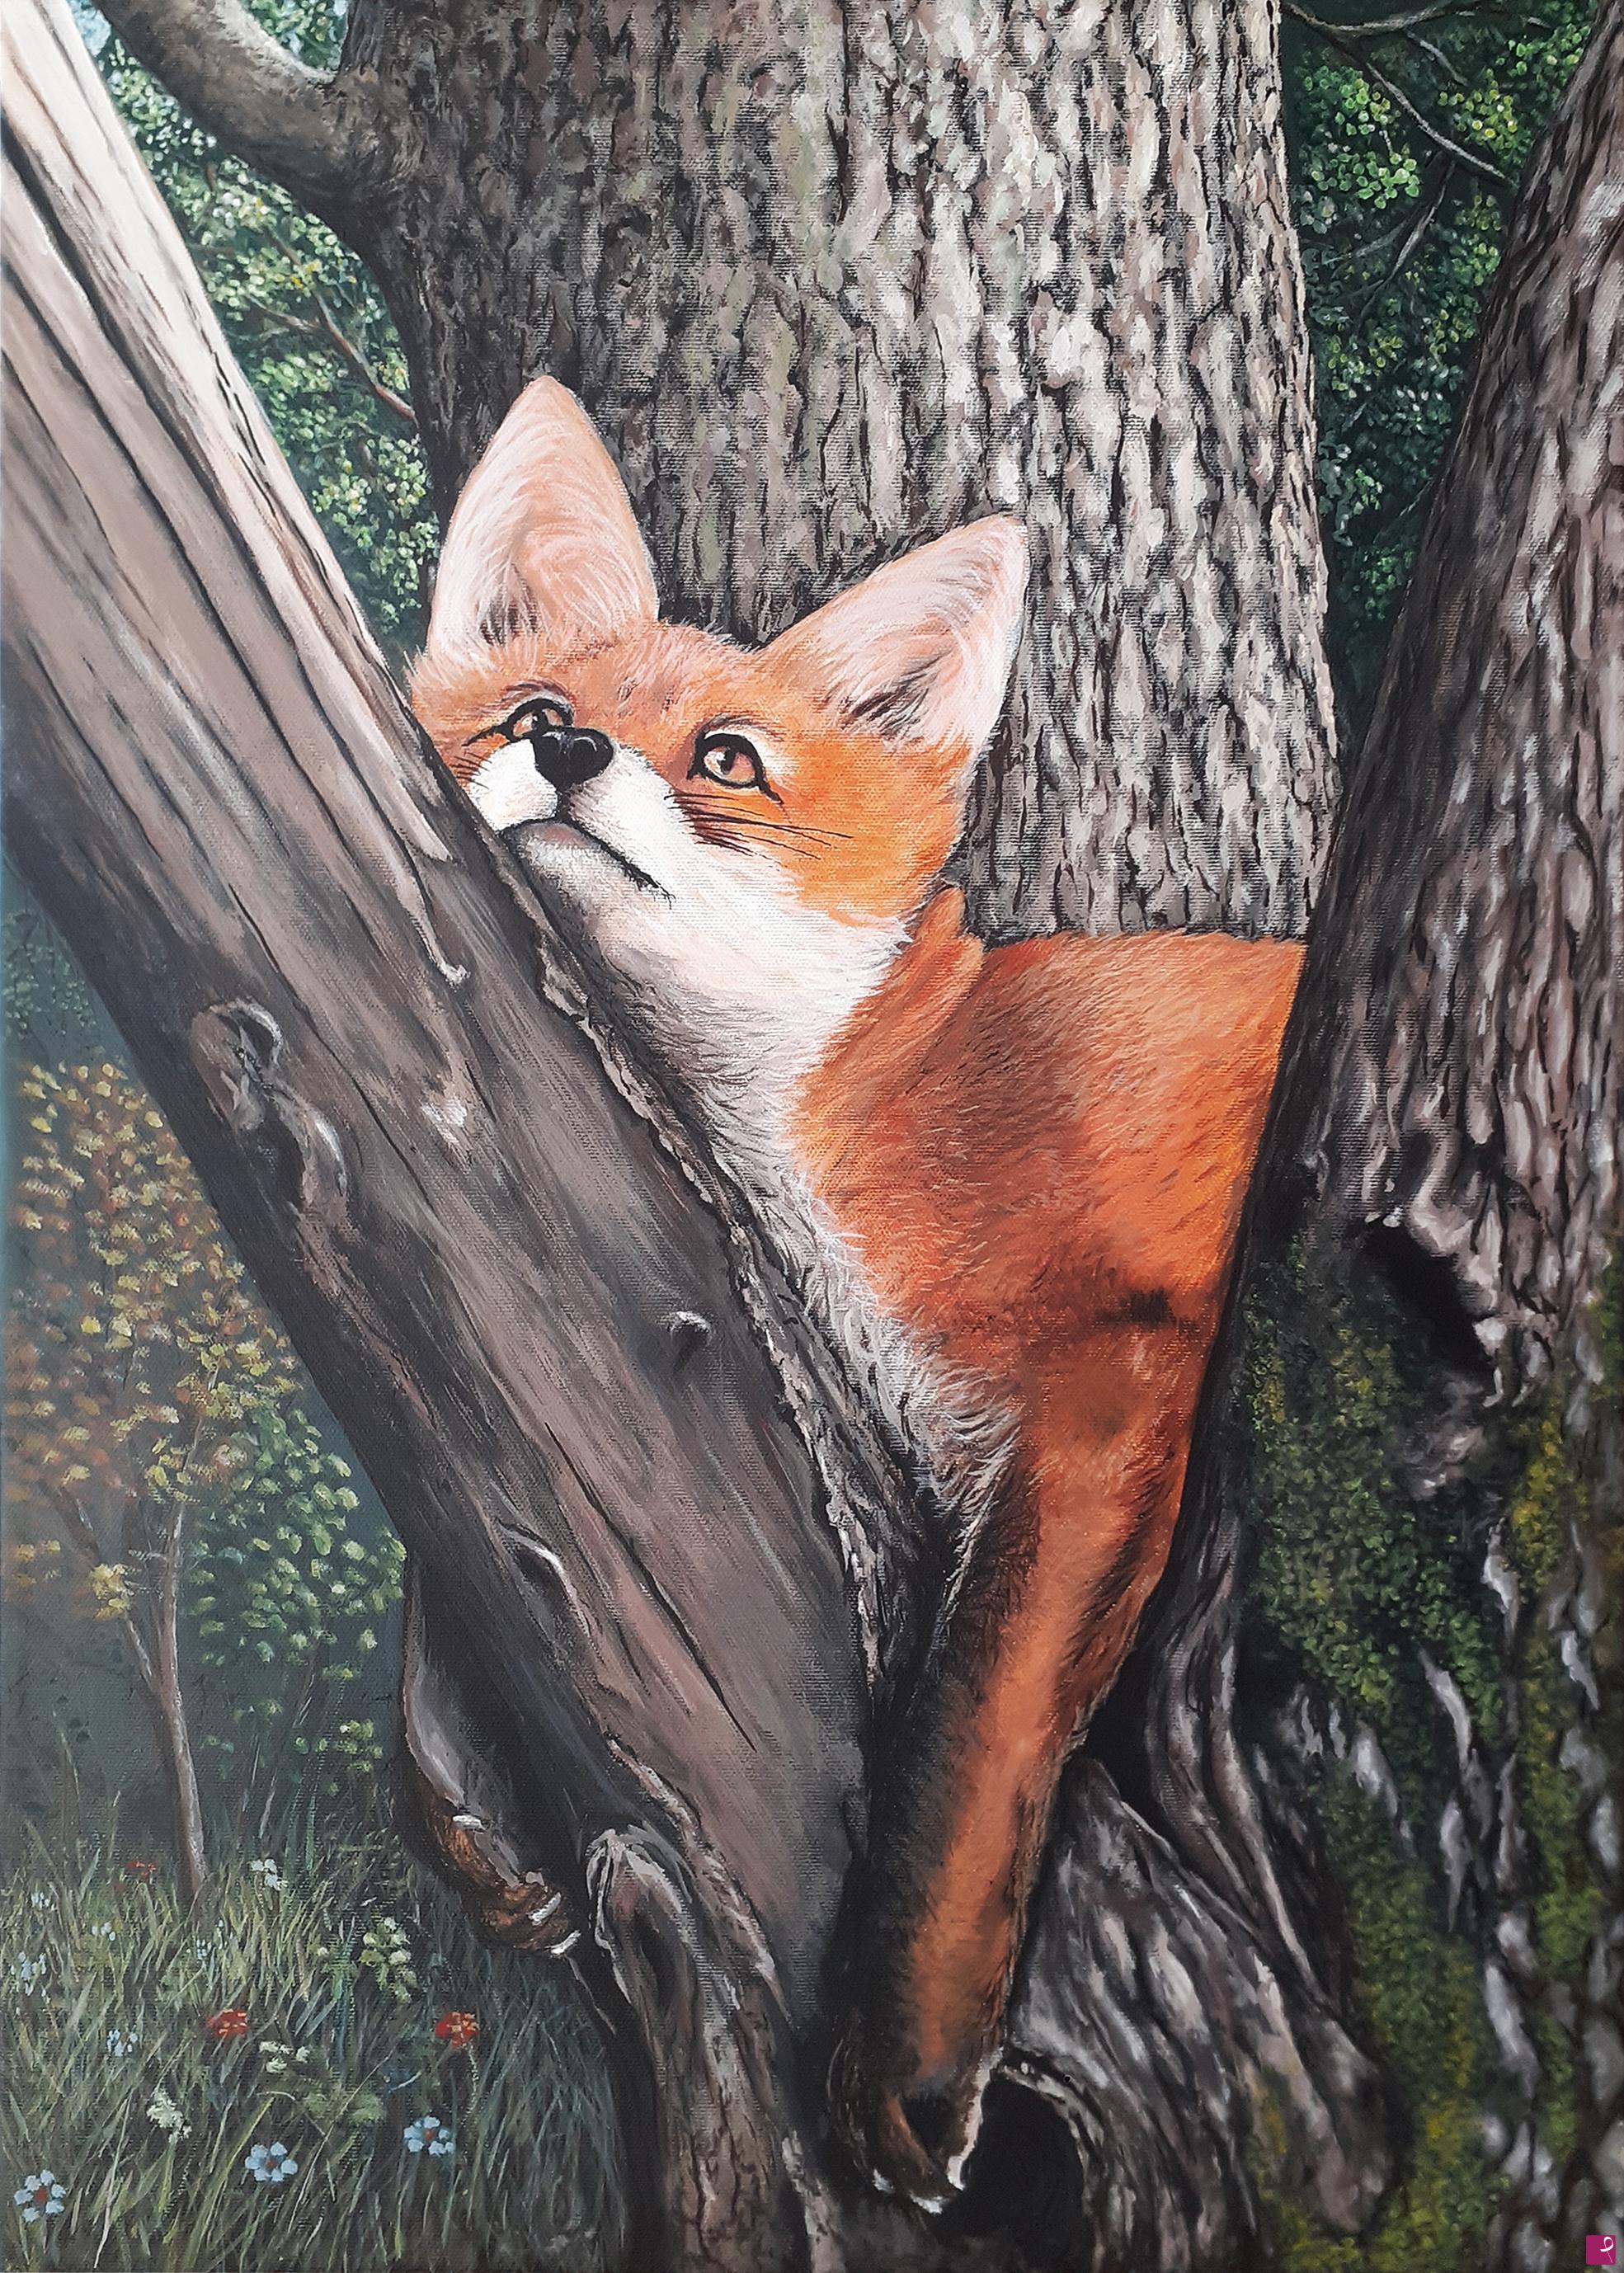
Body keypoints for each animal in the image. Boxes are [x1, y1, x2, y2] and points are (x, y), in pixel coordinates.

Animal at [408, 376, 1304, 2210]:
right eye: (537, 706)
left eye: (726, 760)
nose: (569, 755)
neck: (844, 1124)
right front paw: (449, 1768)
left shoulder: (1113, 1383)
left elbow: (967, 1742)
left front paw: (906, 2054)